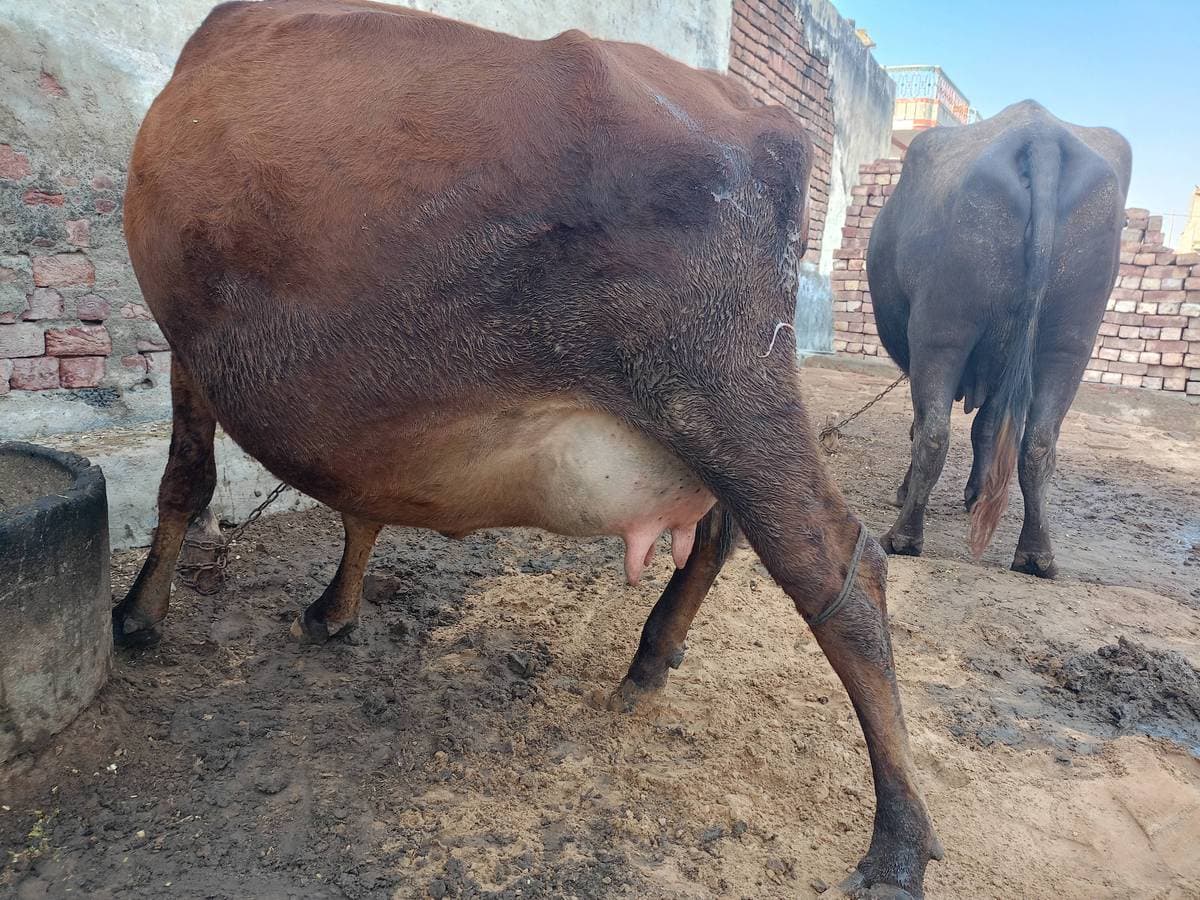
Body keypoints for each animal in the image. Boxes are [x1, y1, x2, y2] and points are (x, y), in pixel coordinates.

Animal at [115, 2, 940, 893]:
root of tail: (754, 112)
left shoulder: (189, 349)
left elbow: (185, 480)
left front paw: (139, 615)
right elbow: (357, 503)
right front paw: (334, 608)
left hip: (725, 387)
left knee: (838, 569)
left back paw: (898, 841)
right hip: (707, 414)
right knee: (724, 533)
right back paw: (650, 661)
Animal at [868, 100, 1131, 577]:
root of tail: (1042, 138)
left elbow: (934, 427)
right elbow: (988, 428)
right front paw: (978, 494)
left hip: (941, 333)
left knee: (933, 433)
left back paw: (904, 535)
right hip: (1068, 345)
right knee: (1039, 443)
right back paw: (1036, 554)